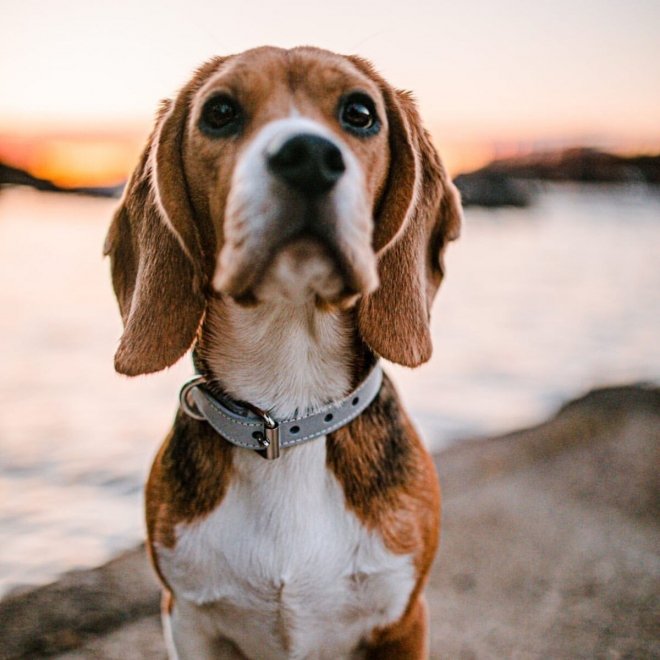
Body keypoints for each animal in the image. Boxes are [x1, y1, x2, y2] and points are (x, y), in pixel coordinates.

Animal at [105, 43, 462, 656]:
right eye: (220, 112)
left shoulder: (403, 617)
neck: (286, 409)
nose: (309, 156)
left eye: (360, 113)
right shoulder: (187, 616)